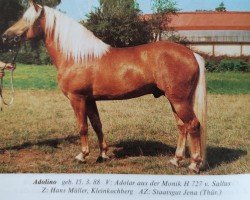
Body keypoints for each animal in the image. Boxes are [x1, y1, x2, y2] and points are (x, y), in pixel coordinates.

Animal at [1, 0, 207, 173]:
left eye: (27, 19)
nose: (5, 36)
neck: (77, 57)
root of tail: (191, 54)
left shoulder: (77, 99)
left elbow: (82, 127)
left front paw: (82, 156)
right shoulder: (90, 100)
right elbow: (97, 125)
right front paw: (103, 154)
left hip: (179, 100)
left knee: (193, 125)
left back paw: (194, 164)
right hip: (175, 100)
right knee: (182, 127)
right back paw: (176, 160)